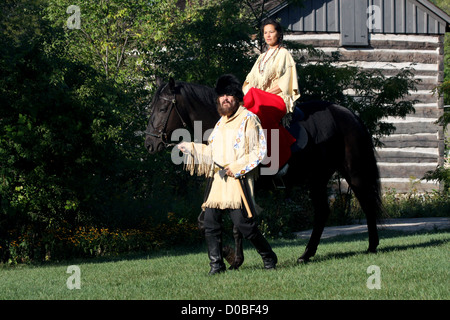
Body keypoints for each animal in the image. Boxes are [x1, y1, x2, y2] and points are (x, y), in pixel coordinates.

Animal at [145, 77, 384, 264]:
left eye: (163, 109)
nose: (150, 143)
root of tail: (349, 114)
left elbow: (237, 223)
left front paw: (234, 258)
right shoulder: (218, 184)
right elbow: (205, 220)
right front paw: (231, 257)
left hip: (354, 174)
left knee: (366, 204)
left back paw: (371, 246)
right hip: (317, 179)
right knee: (323, 212)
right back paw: (307, 254)